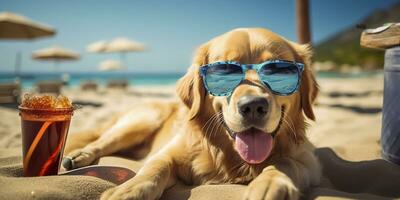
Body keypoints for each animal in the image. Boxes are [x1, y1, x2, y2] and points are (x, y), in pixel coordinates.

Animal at [64, 27, 320, 200]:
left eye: (278, 70)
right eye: (224, 70)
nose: (254, 106)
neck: (228, 154)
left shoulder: (308, 159)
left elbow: (285, 163)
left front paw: (270, 184)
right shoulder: (169, 154)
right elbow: (153, 169)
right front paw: (129, 189)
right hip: (141, 121)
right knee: (100, 142)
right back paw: (77, 156)